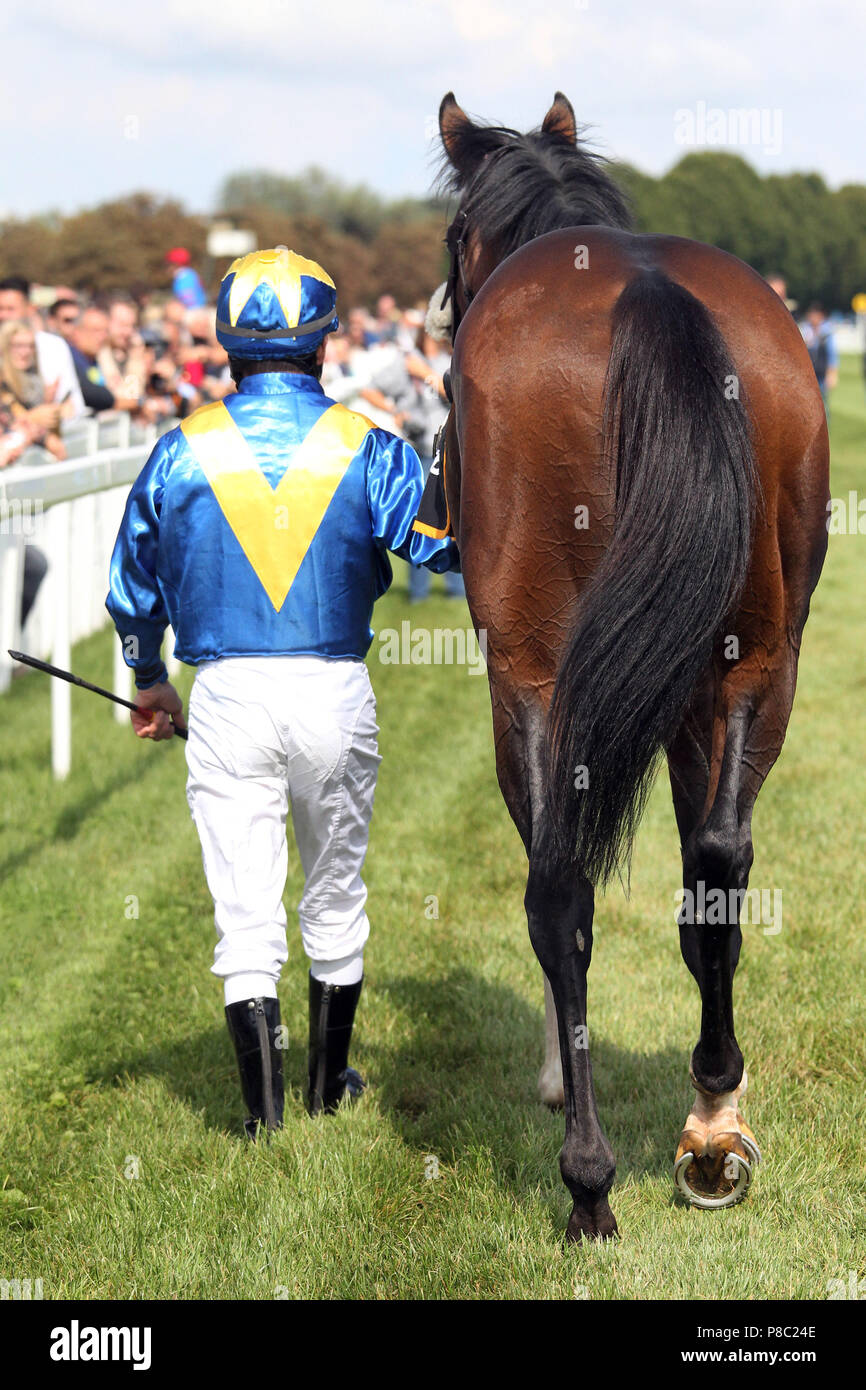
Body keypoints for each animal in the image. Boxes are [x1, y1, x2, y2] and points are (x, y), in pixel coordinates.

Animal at [436, 89, 828, 1239]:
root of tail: (648, 295)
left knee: (560, 890)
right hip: (758, 665)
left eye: (454, 236)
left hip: (531, 672)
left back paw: (588, 1178)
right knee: (719, 863)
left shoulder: (526, 691)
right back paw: (711, 1127)